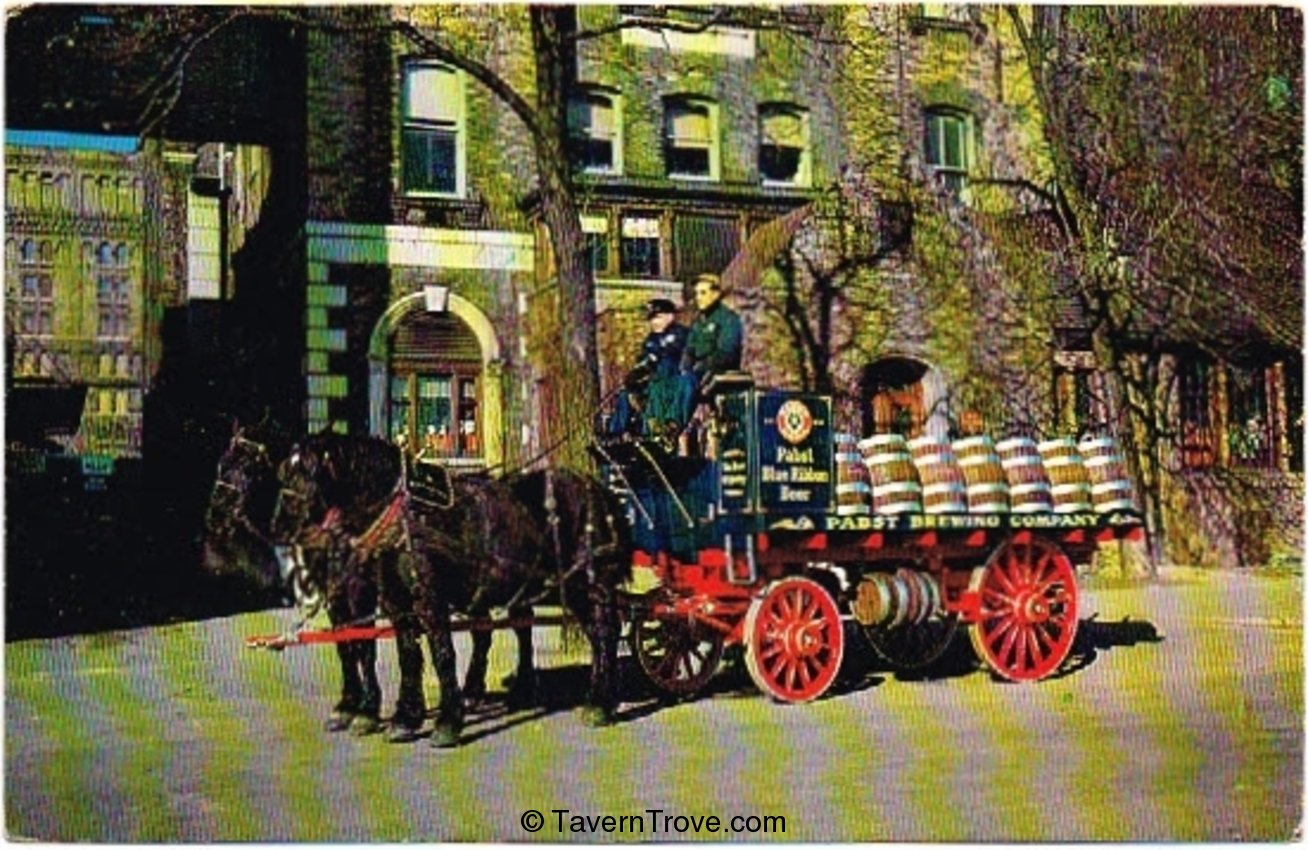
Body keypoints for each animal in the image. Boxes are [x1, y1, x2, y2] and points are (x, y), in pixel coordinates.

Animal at [273, 434, 630, 742]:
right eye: (283, 473)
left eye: (306, 474)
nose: (279, 527)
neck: (404, 517)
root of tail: (596, 488)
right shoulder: (392, 601)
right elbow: (401, 654)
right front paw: (403, 717)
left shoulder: (424, 598)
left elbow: (438, 652)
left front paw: (445, 722)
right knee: (532, 628)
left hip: (588, 581)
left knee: (604, 630)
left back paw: (599, 703)